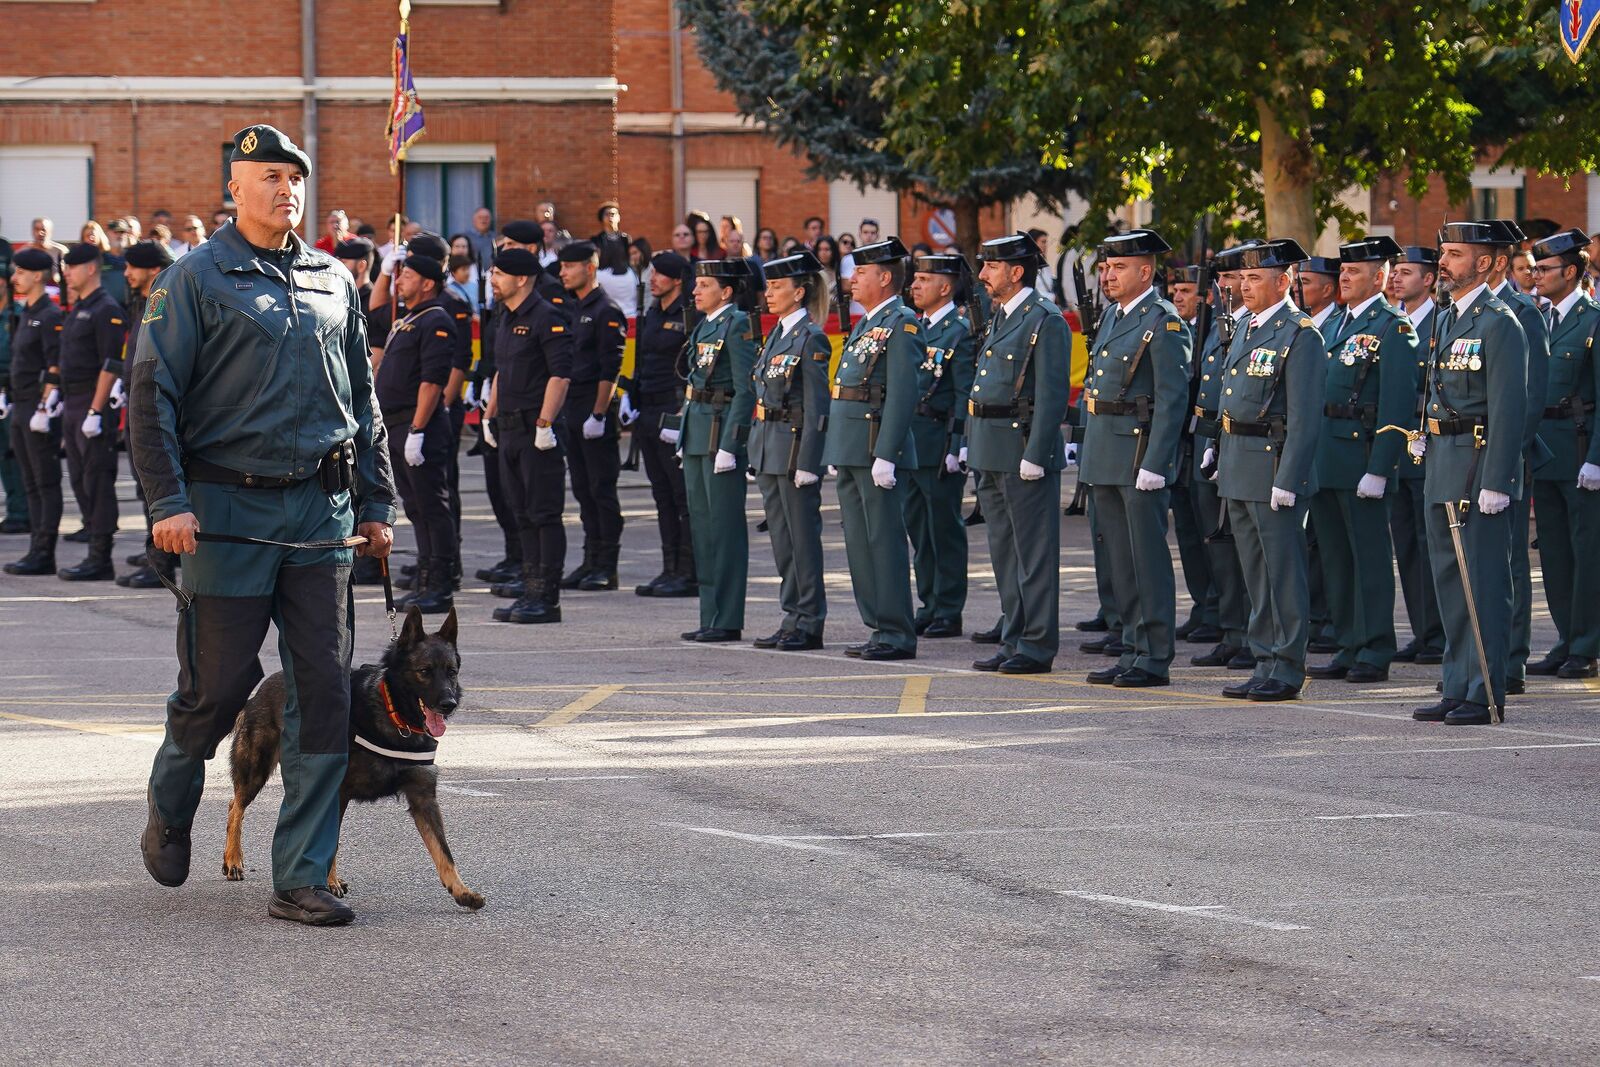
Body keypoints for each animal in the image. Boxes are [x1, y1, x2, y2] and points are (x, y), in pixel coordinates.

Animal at [219, 607, 483, 908]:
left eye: (452, 672)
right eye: (424, 672)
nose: (448, 704)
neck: (396, 717)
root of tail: (263, 688)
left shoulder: (423, 798)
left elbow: (444, 850)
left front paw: (461, 890)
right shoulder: (337, 792)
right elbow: (329, 840)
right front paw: (328, 883)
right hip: (255, 768)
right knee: (235, 805)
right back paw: (233, 859)